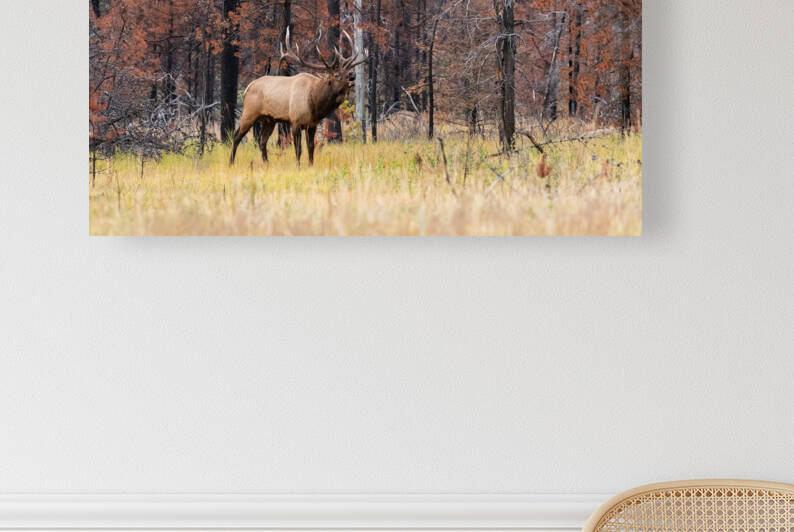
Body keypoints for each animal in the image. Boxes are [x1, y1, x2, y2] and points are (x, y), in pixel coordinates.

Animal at [229, 29, 367, 167]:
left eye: (348, 69)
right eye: (337, 74)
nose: (353, 74)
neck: (315, 105)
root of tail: (247, 88)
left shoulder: (312, 124)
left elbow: (311, 147)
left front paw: (311, 165)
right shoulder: (295, 121)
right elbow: (298, 148)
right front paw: (298, 166)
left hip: (269, 120)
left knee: (262, 141)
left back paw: (267, 164)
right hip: (249, 113)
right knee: (237, 136)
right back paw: (231, 162)